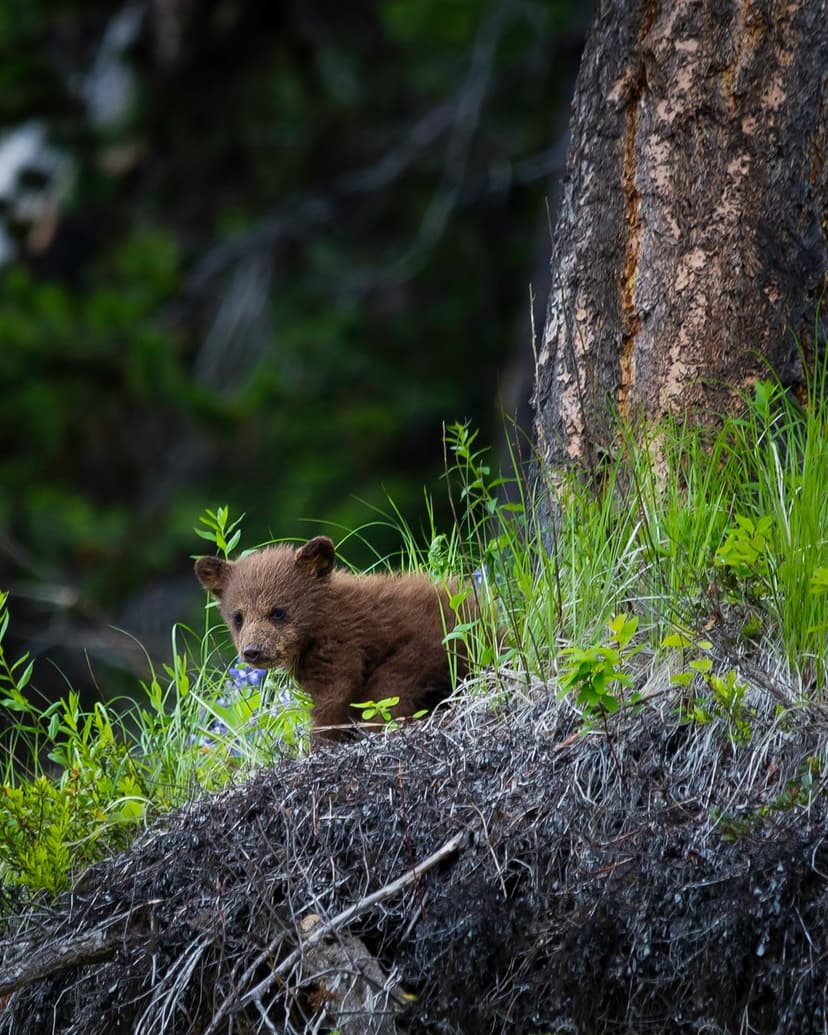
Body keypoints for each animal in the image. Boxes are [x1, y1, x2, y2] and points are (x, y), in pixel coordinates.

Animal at [194, 536, 470, 743]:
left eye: (278, 611)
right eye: (238, 617)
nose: (253, 651)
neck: (319, 621)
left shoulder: (340, 643)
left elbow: (335, 696)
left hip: (424, 650)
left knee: (388, 692)